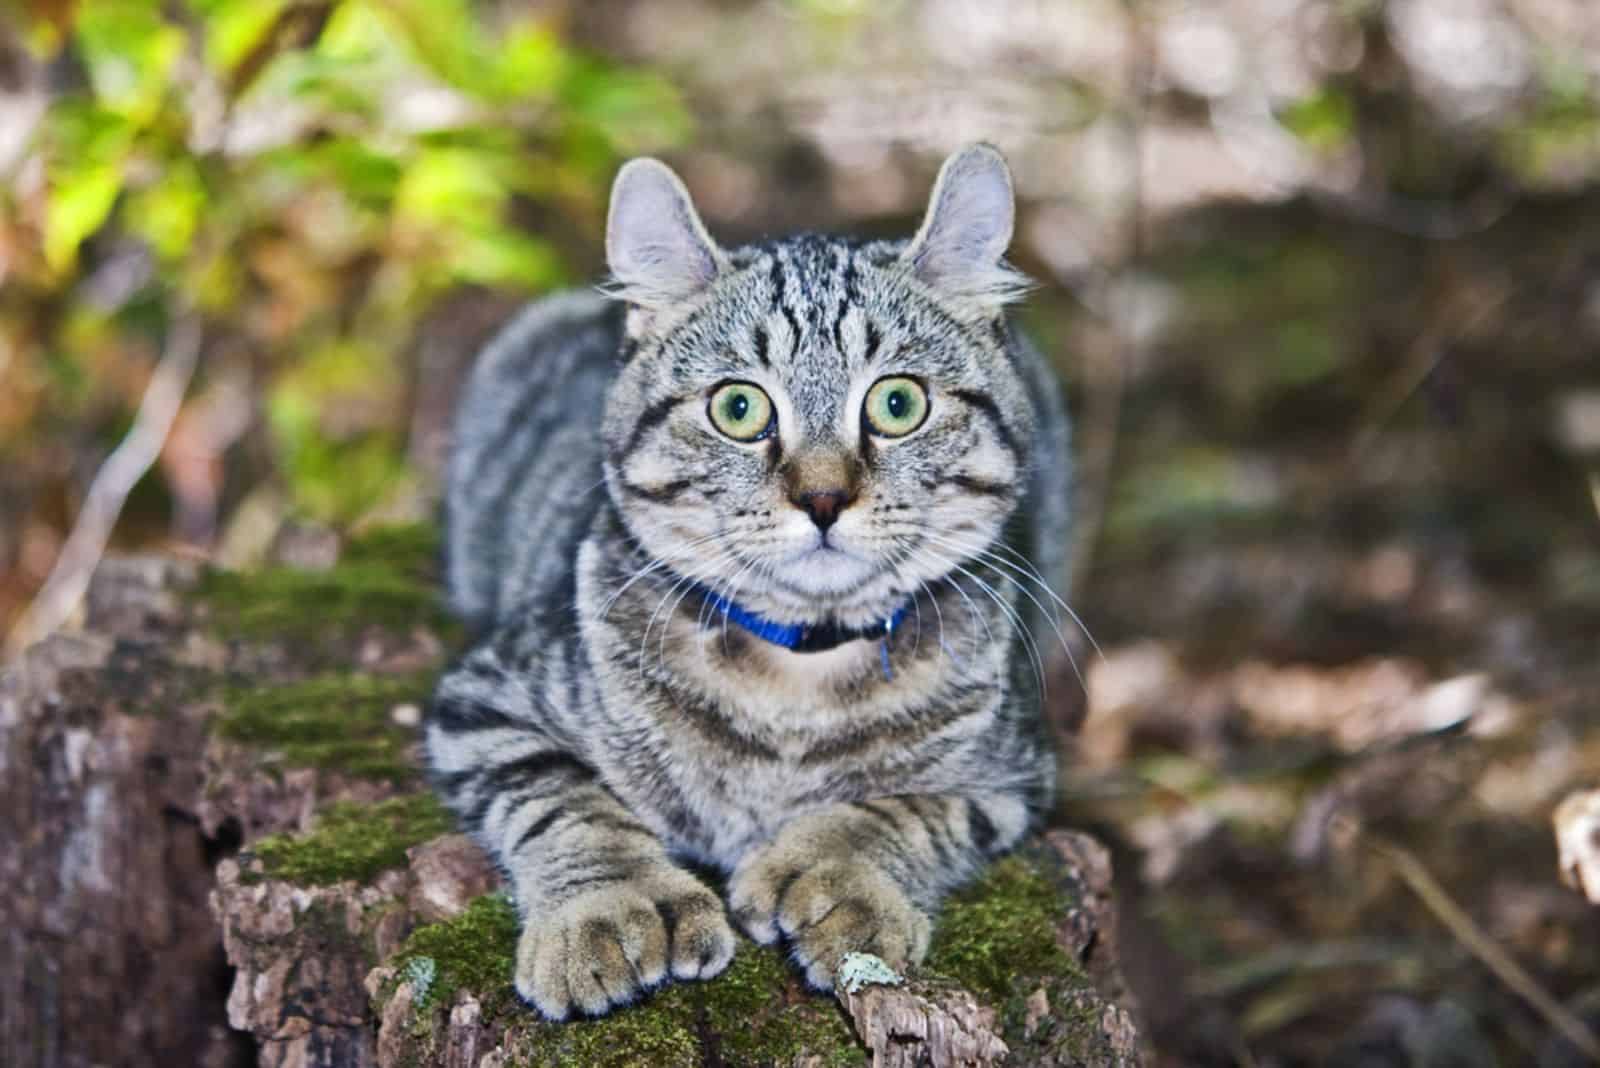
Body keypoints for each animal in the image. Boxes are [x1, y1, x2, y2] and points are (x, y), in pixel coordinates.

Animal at [432, 141, 1068, 1016]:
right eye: (738, 408)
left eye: (898, 404)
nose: (824, 496)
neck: (797, 677)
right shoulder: (486, 699)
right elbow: (565, 801)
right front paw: (612, 903)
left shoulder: (1015, 775)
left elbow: (913, 809)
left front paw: (839, 871)